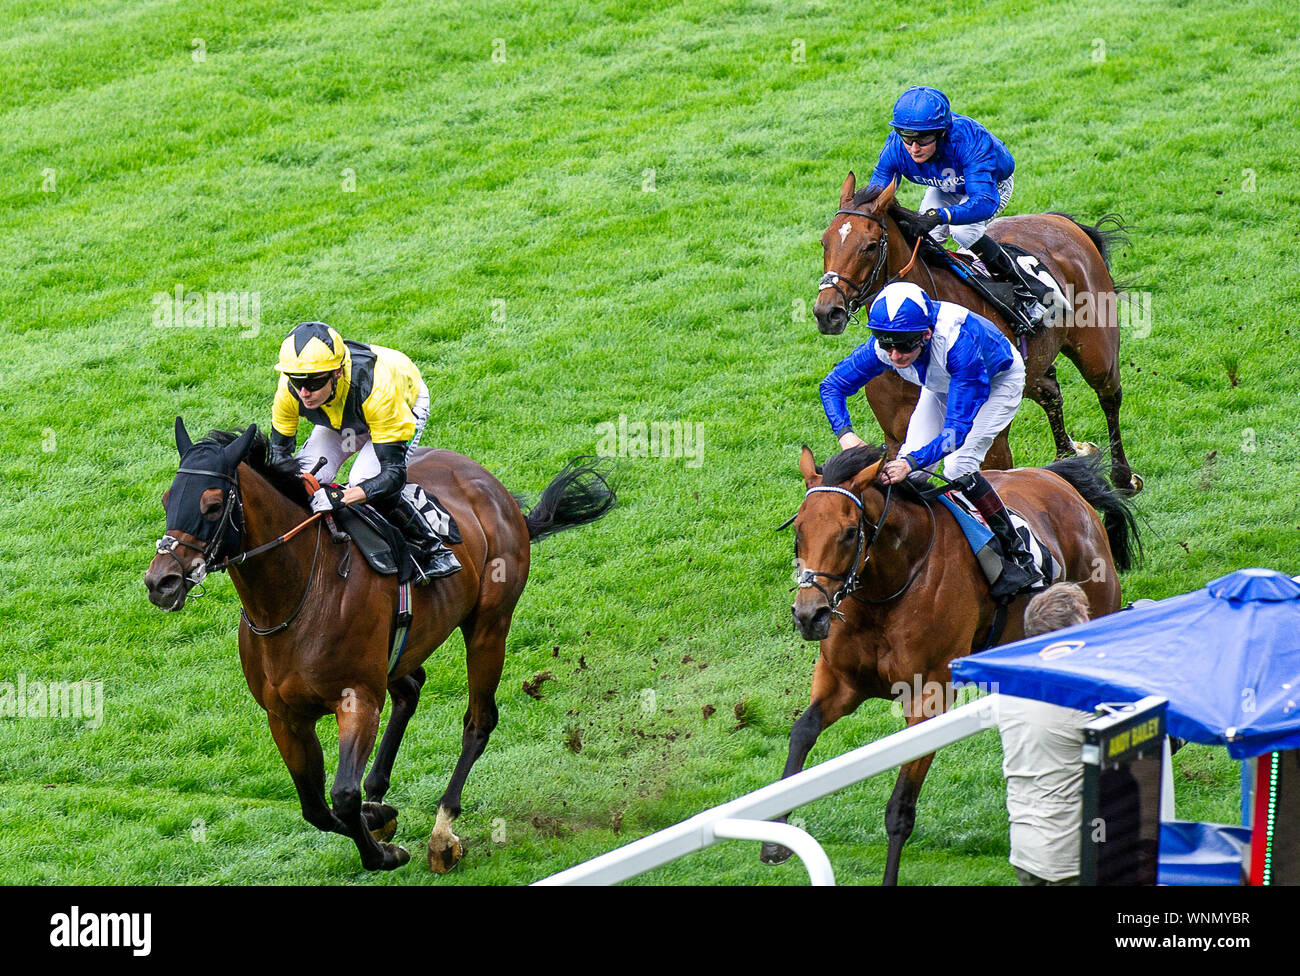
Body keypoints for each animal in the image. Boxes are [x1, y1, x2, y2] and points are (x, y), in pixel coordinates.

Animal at [144, 421, 611, 868]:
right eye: (167, 500)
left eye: (212, 504)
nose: (160, 582)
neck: (295, 598)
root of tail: (493, 488)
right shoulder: (285, 716)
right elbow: (315, 807)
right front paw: (379, 817)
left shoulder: (359, 700)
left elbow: (342, 796)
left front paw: (385, 852)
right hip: (400, 650)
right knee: (411, 688)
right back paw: (380, 793)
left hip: (489, 626)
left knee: (479, 721)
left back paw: (443, 833)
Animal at [759, 447, 1138, 888]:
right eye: (799, 531)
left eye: (850, 533)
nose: (809, 615)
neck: (889, 587)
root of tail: (1060, 481)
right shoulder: (841, 681)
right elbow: (802, 732)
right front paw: (774, 842)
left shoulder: (928, 699)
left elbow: (900, 808)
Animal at [816, 170, 1144, 491]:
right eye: (824, 242)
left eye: (870, 246)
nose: (827, 312)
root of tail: (1061, 220)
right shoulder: (896, 439)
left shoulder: (993, 445)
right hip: (1032, 367)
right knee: (1051, 390)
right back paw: (1068, 456)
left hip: (1096, 351)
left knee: (1109, 395)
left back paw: (1122, 477)